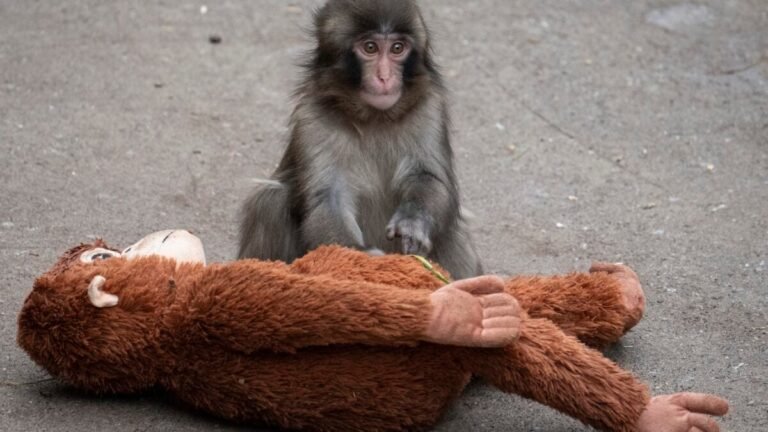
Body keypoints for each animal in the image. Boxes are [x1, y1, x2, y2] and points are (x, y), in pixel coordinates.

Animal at [239, 0, 482, 280]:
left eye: (397, 48)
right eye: (370, 48)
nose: (384, 77)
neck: (375, 117)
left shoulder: (429, 108)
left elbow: (429, 177)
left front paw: (412, 222)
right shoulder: (312, 118)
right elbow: (329, 198)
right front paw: (362, 257)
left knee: (452, 230)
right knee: (270, 200)